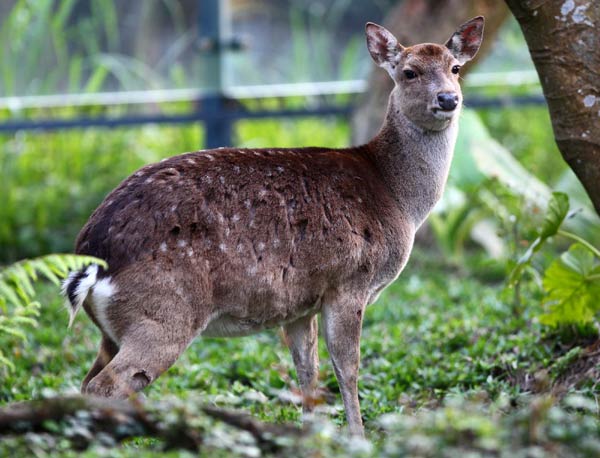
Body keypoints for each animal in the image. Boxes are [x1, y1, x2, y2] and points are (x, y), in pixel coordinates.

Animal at [62, 17, 482, 436]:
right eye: (409, 72)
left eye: (455, 68)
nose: (448, 99)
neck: (396, 197)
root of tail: (89, 261)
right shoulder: (349, 282)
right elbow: (347, 369)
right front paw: (358, 437)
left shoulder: (300, 304)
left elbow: (308, 371)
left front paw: (315, 434)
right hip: (164, 312)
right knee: (105, 383)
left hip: (113, 329)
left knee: (86, 381)